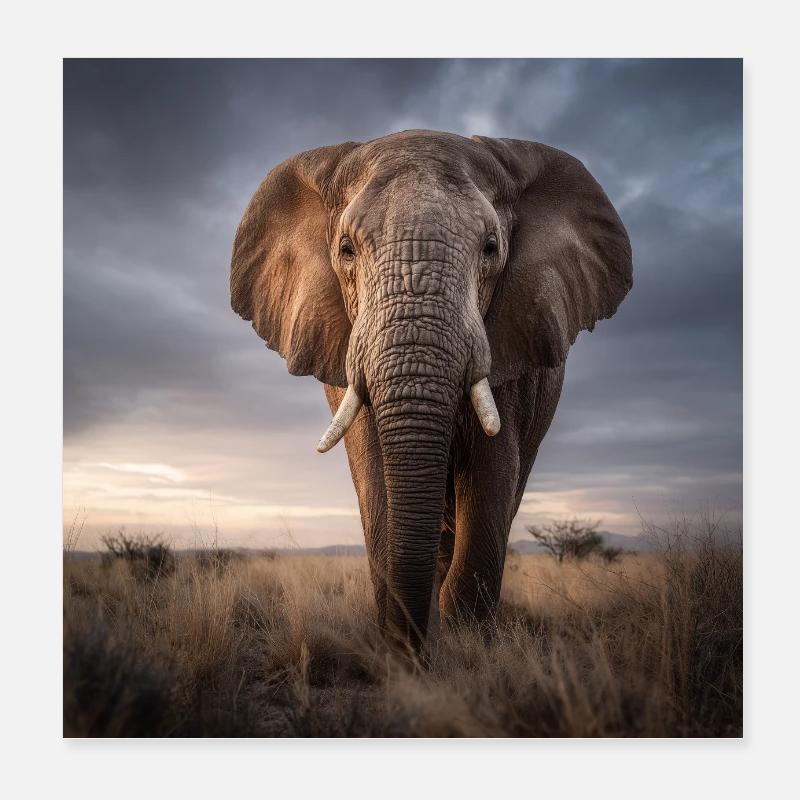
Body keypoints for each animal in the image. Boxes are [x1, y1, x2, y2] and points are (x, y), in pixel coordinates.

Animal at [230, 130, 632, 654]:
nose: (411, 651)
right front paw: (403, 649)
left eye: (491, 247)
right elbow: (374, 471)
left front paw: (470, 647)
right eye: (346, 249)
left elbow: (492, 472)